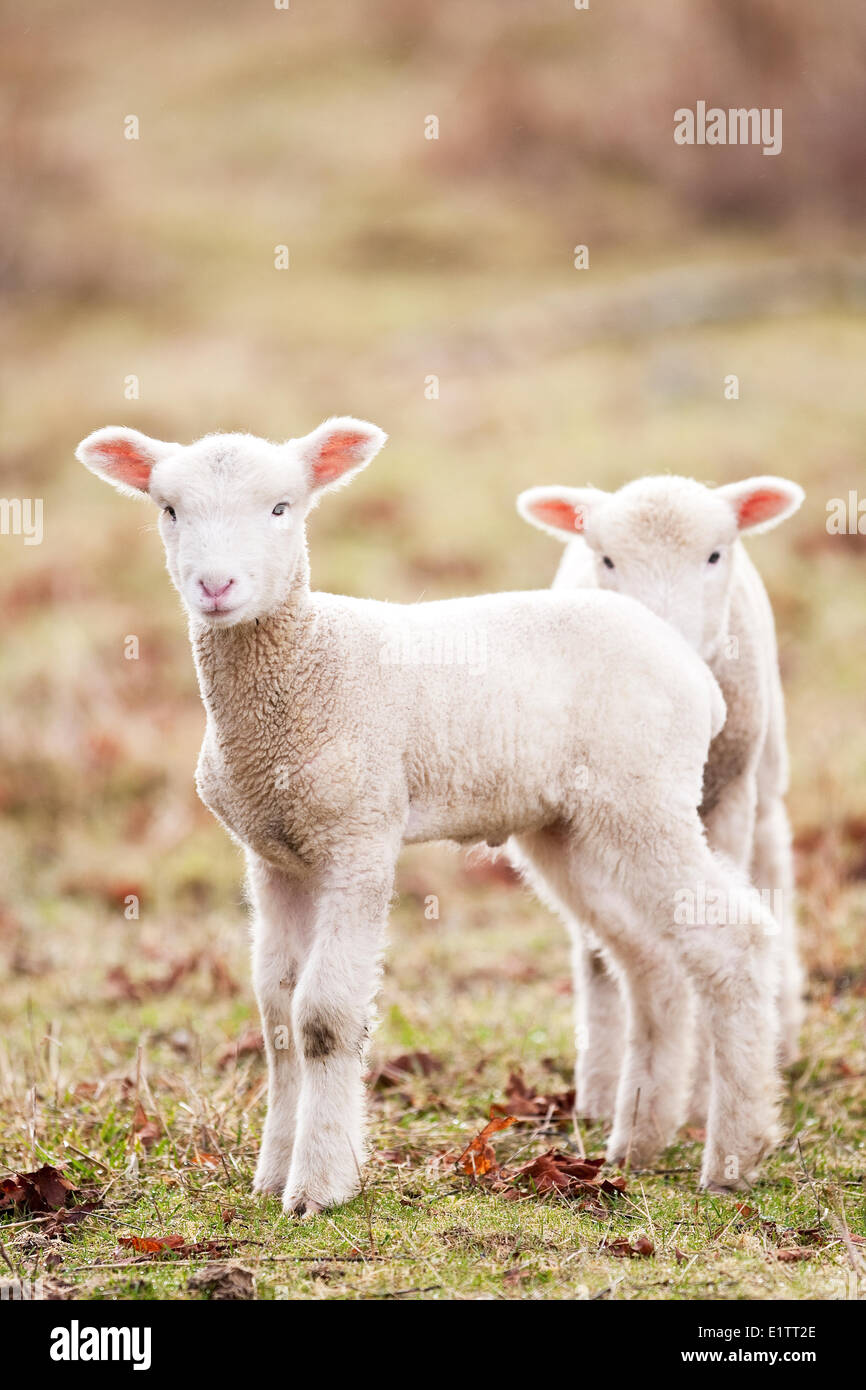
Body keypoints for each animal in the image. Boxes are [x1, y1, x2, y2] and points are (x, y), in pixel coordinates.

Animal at [514, 472, 806, 1123]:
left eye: (715, 555)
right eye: (606, 559)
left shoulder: (730, 799)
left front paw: (702, 1097)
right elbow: (598, 955)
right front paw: (601, 1092)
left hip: (767, 772)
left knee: (773, 866)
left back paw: (784, 1029)